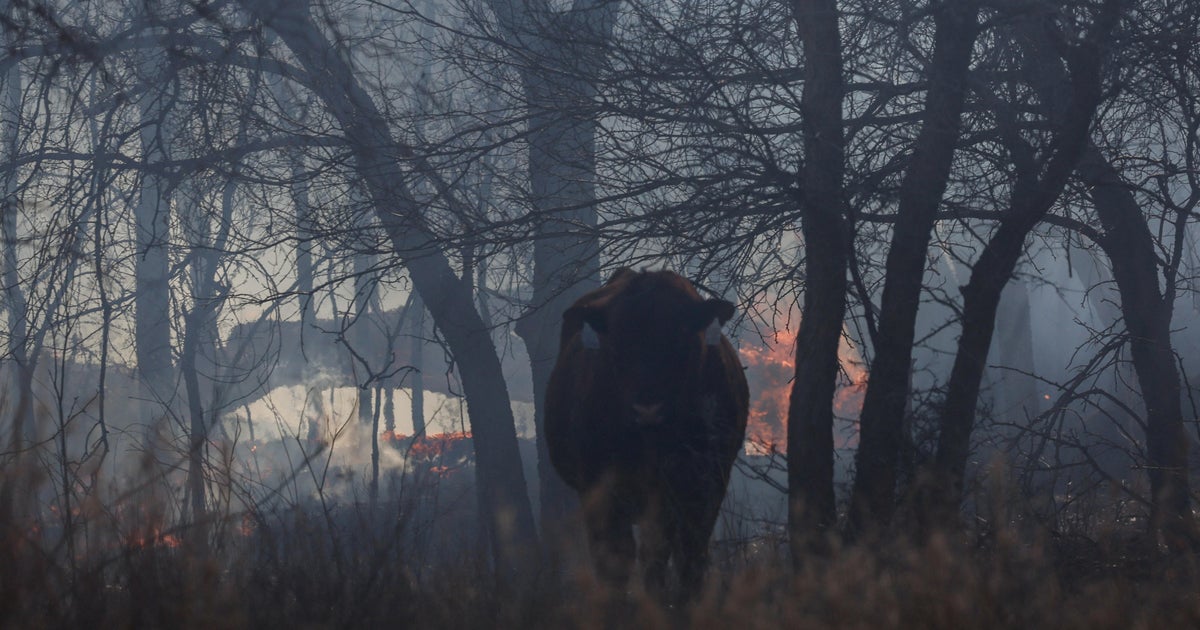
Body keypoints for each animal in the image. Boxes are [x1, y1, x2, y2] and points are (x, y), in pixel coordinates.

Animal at [547, 267, 748, 597]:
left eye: (680, 339)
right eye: (616, 343)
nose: (647, 408)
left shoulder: (702, 488)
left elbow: (684, 553)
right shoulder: (600, 489)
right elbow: (616, 560)